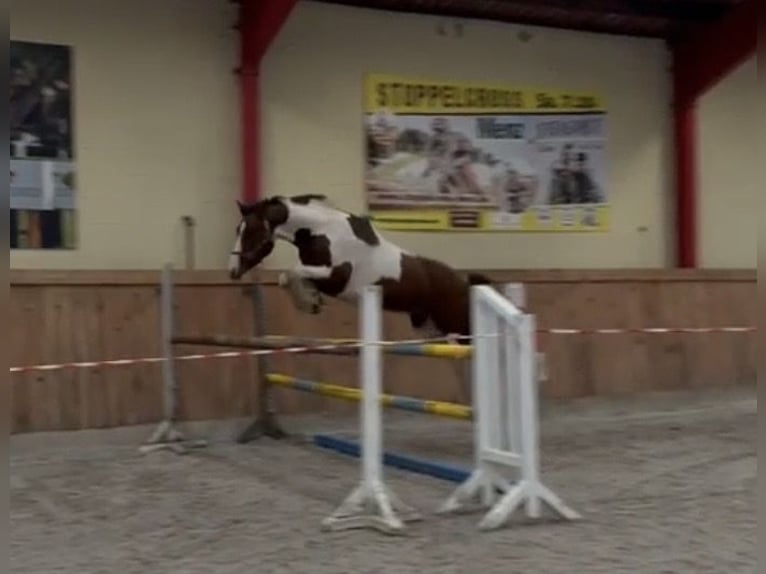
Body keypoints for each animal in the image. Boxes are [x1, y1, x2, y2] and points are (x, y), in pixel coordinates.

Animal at [227, 193, 492, 344]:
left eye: (250, 232)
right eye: (237, 230)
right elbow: (286, 277)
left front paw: (309, 302)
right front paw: (311, 301)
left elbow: (291, 272)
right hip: (429, 326)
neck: (321, 231)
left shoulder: (336, 277)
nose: (232, 271)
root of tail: (465, 282)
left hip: (458, 327)